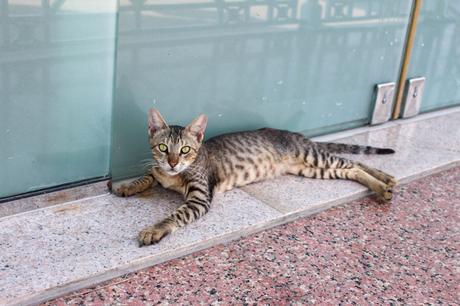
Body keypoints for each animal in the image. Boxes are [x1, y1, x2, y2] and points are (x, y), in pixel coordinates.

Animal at [109, 109, 398, 245]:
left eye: (185, 150)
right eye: (162, 148)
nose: (172, 163)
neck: (172, 177)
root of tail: (299, 135)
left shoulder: (200, 198)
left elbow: (174, 215)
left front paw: (154, 229)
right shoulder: (157, 170)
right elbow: (147, 176)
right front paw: (127, 187)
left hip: (313, 157)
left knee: (355, 162)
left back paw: (384, 182)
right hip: (312, 169)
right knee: (350, 168)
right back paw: (384, 182)